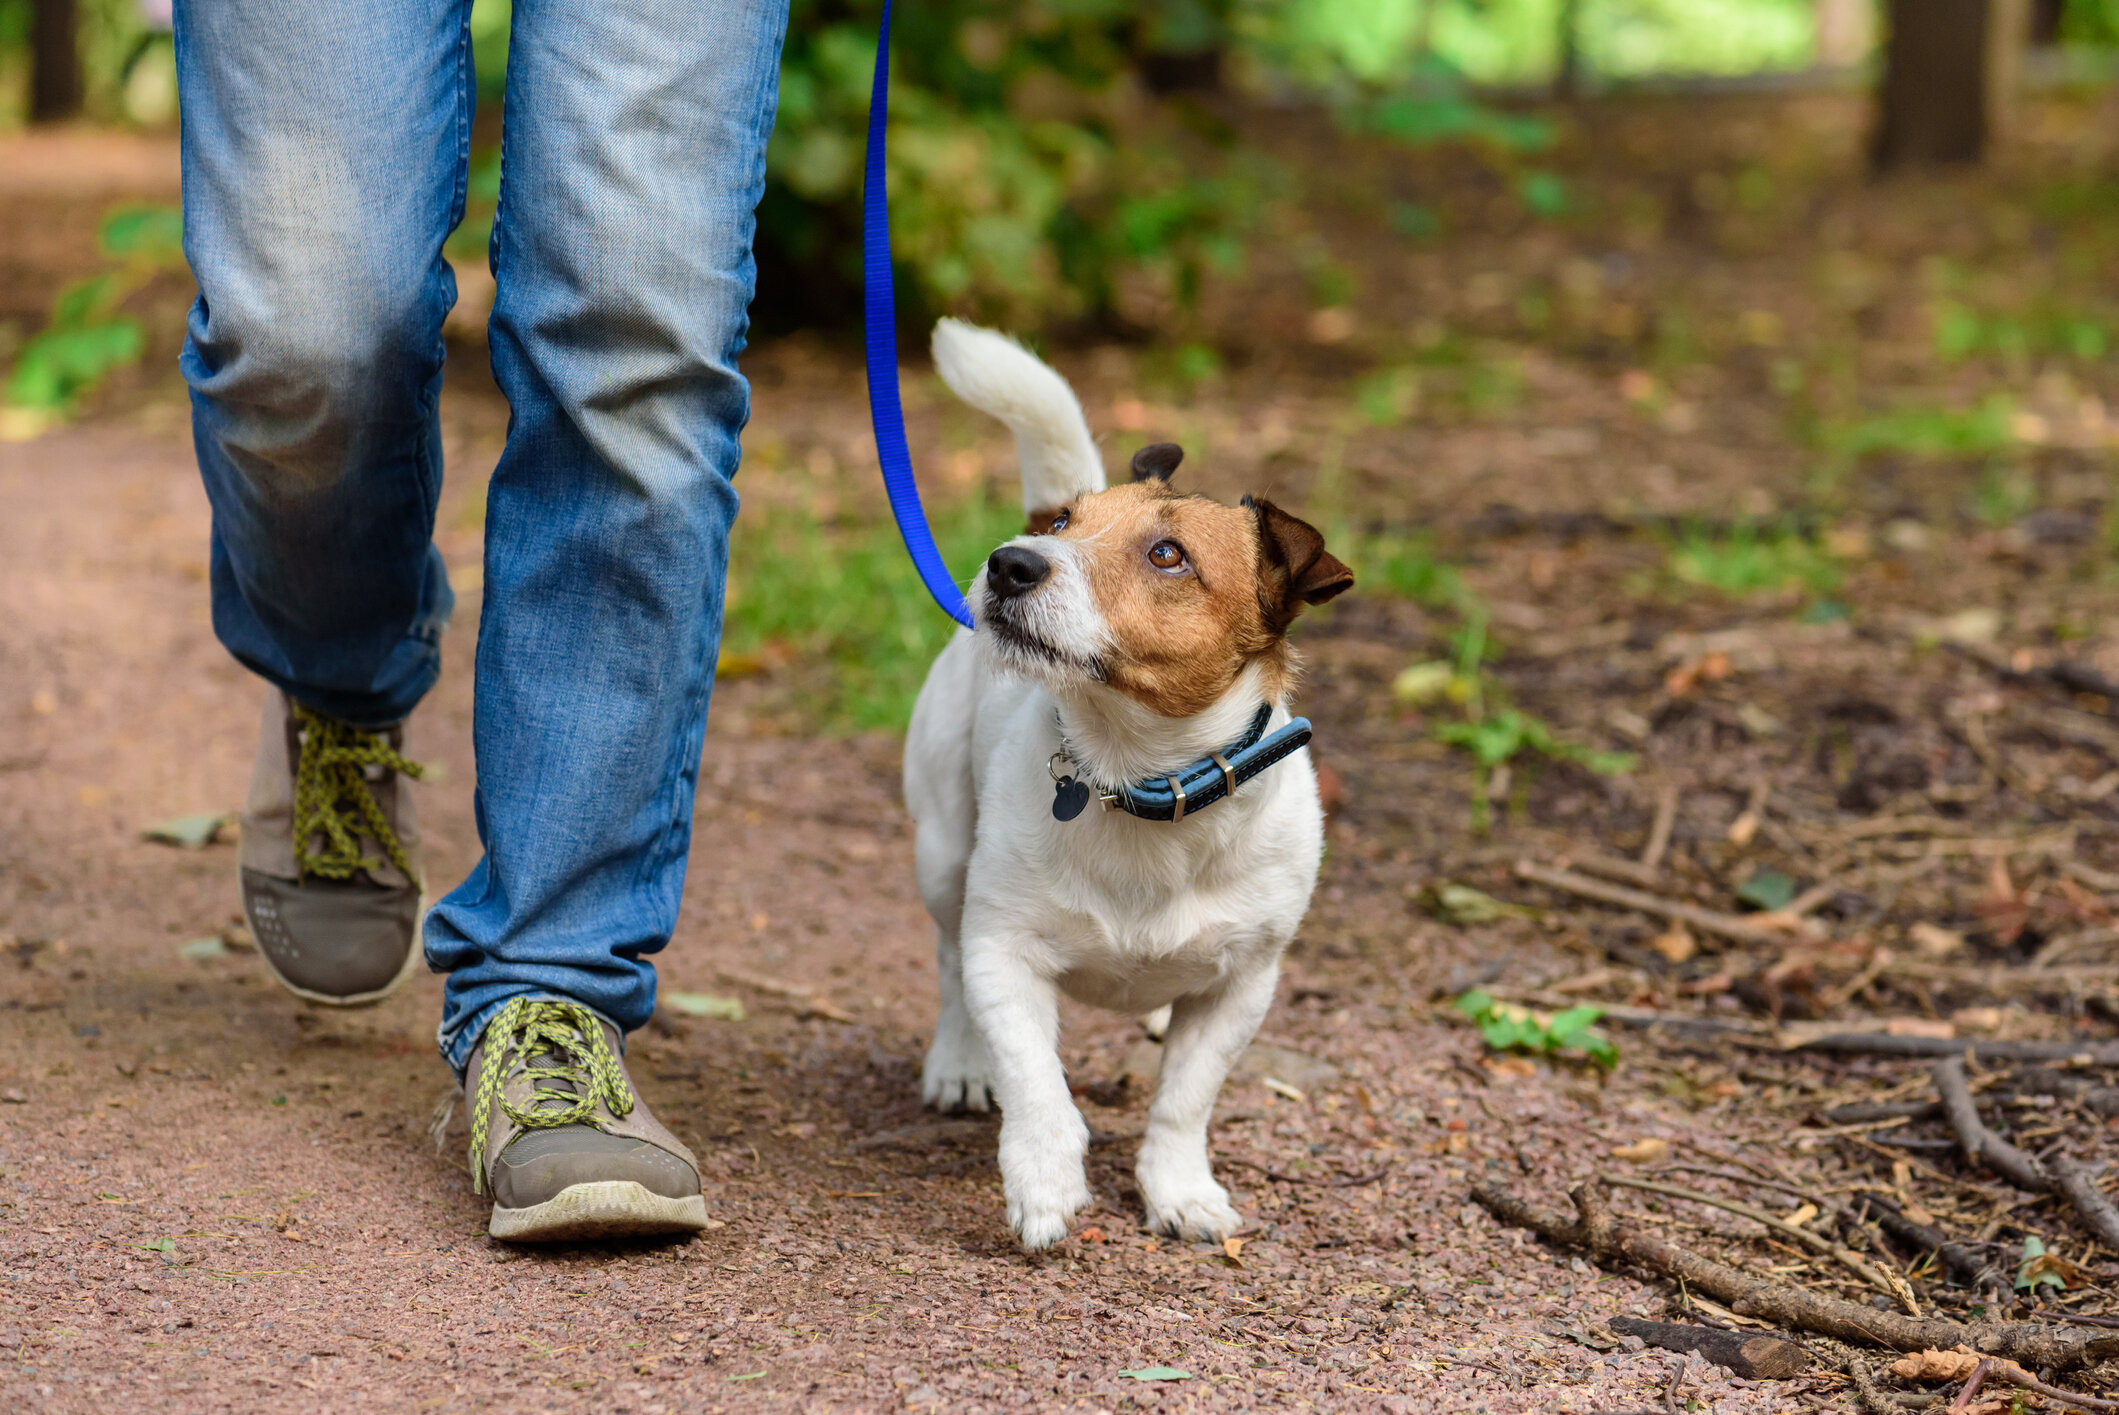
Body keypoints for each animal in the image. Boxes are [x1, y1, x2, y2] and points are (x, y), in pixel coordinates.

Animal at [906, 317, 1339, 1245]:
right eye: (1069, 521)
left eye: (1167, 554)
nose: (1009, 561)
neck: (1134, 777)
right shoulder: (1004, 952)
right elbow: (1035, 1078)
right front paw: (1043, 1179)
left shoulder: (1242, 987)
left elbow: (1184, 1100)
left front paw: (1180, 1189)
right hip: (941, 851)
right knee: (948, 964)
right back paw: (959, 1061)